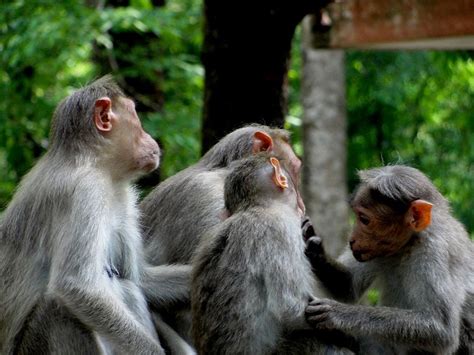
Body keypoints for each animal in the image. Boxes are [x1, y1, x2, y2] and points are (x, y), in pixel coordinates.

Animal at [0, 76, 193, 355]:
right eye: (137, 117)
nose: (150, 137)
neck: (94, 162)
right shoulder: (86, 193)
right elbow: (76, 285)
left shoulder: (123, 198)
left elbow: (140, 280)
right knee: (57, 308)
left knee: (126, 286)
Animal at [191, 155, 354, 355]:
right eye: (294, 186)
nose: (302, 204)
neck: (257, 207)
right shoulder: (281, 229)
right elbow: (289, 308)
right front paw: (348, 336)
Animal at [304, 165, 474, 354]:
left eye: (364, 220)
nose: (352, 240)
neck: (409, 243)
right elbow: (348, 287)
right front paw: (314, 247)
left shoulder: (435, 253)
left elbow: (441, 331)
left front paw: (338, 313)